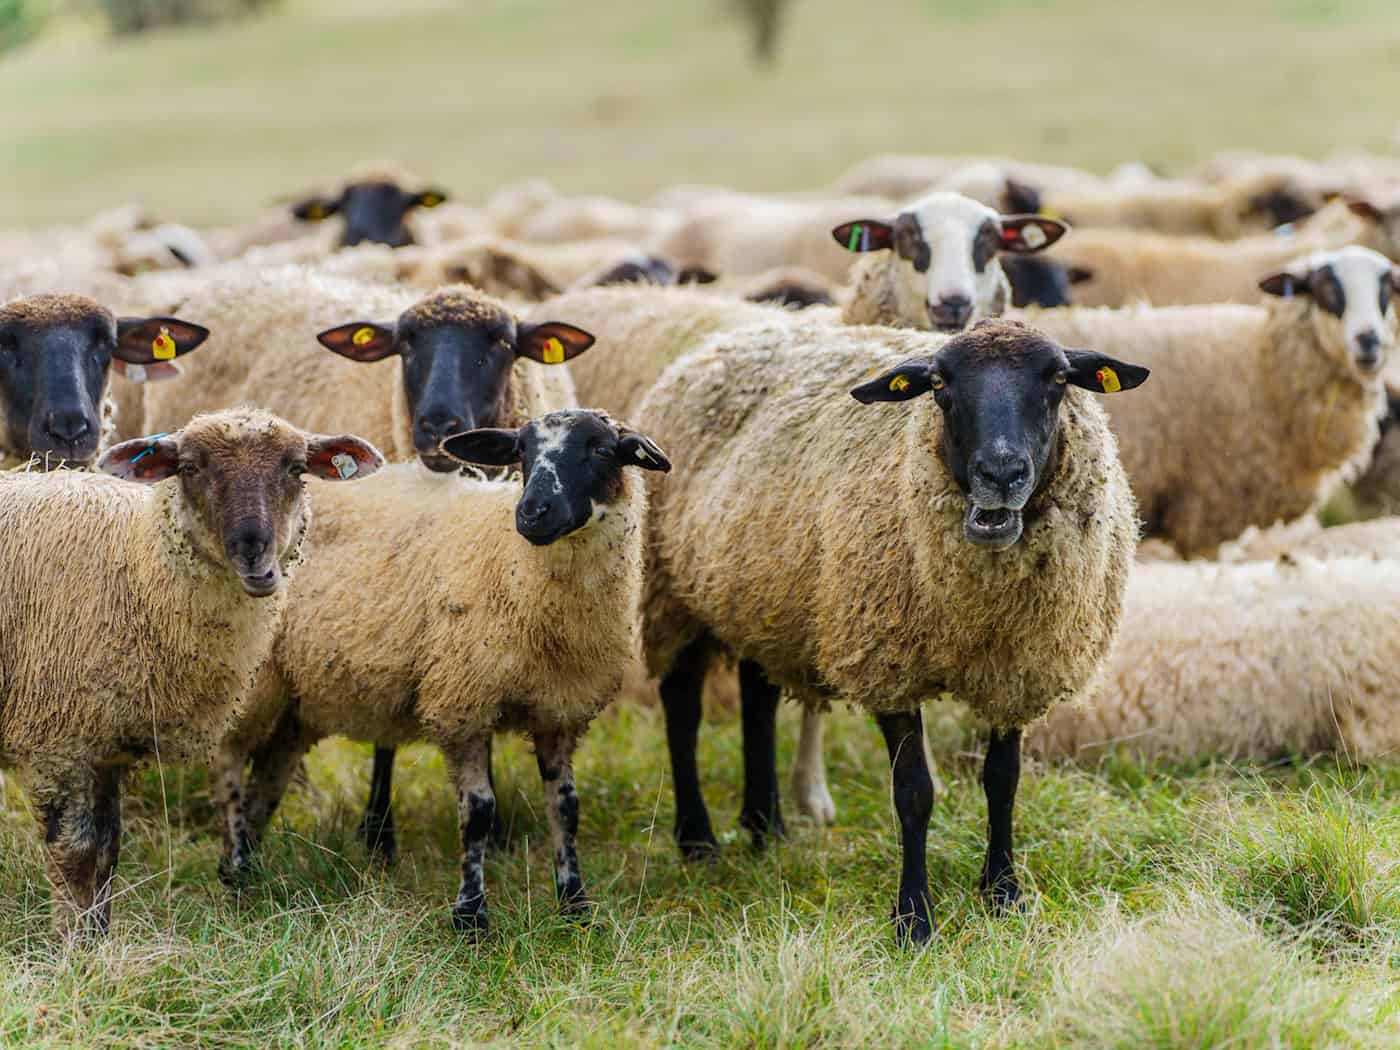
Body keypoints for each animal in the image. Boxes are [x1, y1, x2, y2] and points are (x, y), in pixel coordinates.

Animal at [0, 408, 382, 938]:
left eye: (294, 468)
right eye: (191, 467)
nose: (254, 556)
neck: (136, 569)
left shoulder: (106, 747)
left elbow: (107, 853)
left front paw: (98, 942)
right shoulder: (58, 741)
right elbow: (75, 856)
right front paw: (71, 946)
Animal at [213, 410, 671, 932]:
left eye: (600, 449)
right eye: (522, 452)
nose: (532, 513)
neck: (514, 568)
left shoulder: (559, 709)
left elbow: (566, 807)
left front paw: (575, 906)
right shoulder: (462, 701)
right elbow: (478, 812)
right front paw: (470, 916)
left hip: (295, 699)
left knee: (267, 778)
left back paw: (251, 868)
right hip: (250, 681)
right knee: (229, 763)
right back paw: (234, 870)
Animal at [627, 316, 1147, 943]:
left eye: (1060, 379)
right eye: (939, 383)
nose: (1001, 475)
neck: (982, 606)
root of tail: (719, 342)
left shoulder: (1017, 668)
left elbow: (1003, 781)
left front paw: (1003, 893)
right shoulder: (888, 660)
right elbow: (914, 793)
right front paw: (914, 918)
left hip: (763, 594)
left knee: (757, 696)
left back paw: (765, 826)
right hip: (673, 596)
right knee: (682, 708)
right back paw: (698, 840)